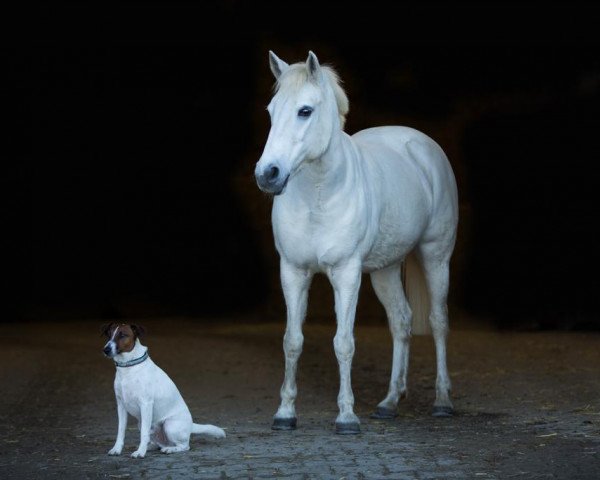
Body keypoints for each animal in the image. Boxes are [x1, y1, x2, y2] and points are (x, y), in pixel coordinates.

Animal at [102, 322, 226, 458]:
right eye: (109, 335)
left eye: (123, 335)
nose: (106, 349)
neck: (128, 367)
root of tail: (191, 425)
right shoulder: (121, 405)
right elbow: (121, 431)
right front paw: (117, 449)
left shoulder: (145, 404)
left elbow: (143, 434)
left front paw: (140, 452)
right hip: (143, 423)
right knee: (158, 443)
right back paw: (151, 447)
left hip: (169, 425)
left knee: (184, 446)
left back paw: (169, 449)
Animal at [254, 51, 460, 436]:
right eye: (271, 111)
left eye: (305, 110)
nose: (267, 174)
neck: (319, 195)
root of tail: (422, 144)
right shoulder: (293, 271)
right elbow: (292, 341)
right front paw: (285, 414)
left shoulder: (346, 273)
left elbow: (344, 343)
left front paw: (347, 417)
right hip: (385, 269)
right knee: (401, 321)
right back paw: (389, 403)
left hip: (435, 256)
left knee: (439, 322)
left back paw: (442, 401)